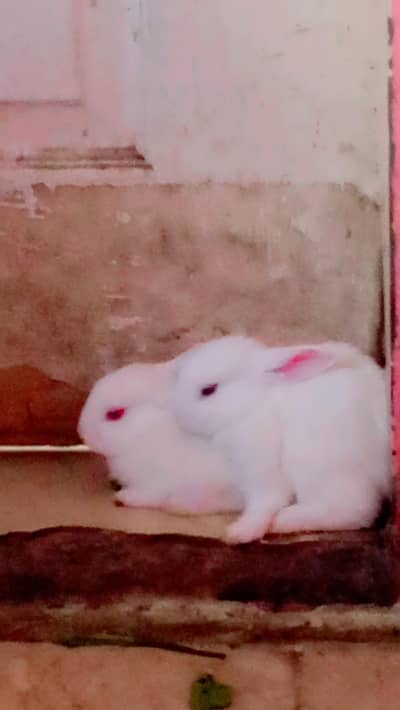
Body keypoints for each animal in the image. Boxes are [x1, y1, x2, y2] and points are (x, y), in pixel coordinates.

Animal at [77, 359, 242, 513]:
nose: (82, 433)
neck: (146, 432)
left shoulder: (155, 483)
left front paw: (123, 497)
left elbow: (145, 495)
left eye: (116, 414)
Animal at [172, 336, 392, 544]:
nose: (177, 413)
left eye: (208, 390)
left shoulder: (260, 465)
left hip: (324, 468)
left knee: (355, 510)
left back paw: (282, 520)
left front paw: (239, 532)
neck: (252, 404)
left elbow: (265, 502)